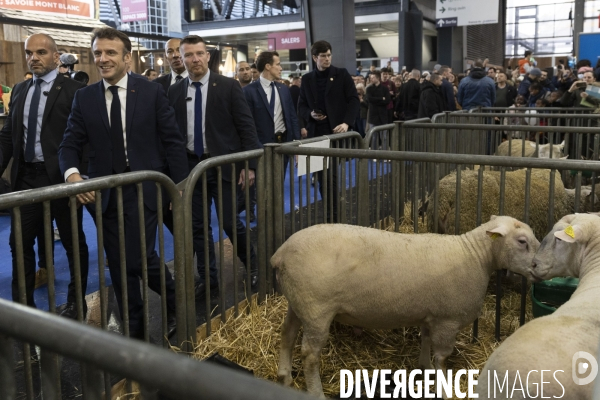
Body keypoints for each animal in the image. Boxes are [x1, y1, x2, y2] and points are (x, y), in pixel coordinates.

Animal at [274, 216, 540, 396]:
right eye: (522, 241)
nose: (540, 267)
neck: (477, 257)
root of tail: (280, 253)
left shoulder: (431, 314)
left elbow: (425, 339)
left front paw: (424, 367)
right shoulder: (448, 319)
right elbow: (442, 357)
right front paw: (443, 387)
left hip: (298, 302)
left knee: (286, 334)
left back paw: (284, 375)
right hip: (316, 309)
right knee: (309, 355)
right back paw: (316, 392)